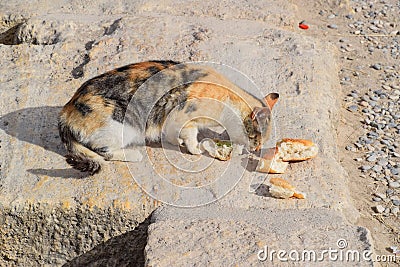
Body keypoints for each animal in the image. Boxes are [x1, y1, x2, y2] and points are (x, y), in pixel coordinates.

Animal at [58, 60, 278, 176]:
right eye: (255, 137)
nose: (256, 148)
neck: (228, 97)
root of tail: (66, 110)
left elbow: (173, 135)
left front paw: (176, 142)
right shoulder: (184, 117)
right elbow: (191, 137)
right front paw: (195, 149)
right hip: (122, 125)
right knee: (104, 151)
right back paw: (134, 154)